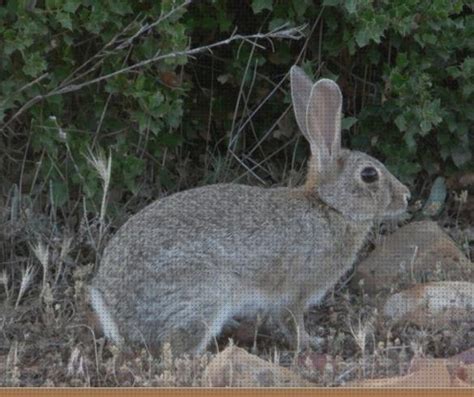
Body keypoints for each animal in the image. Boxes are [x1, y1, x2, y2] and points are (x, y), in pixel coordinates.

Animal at [90, 66, 412, 354]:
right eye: (369, 175)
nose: (406, 196)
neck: (329, 206)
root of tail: (117, 316)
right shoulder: (297, 290)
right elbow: (292, 320)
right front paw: (311, 343)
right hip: (204, 294)